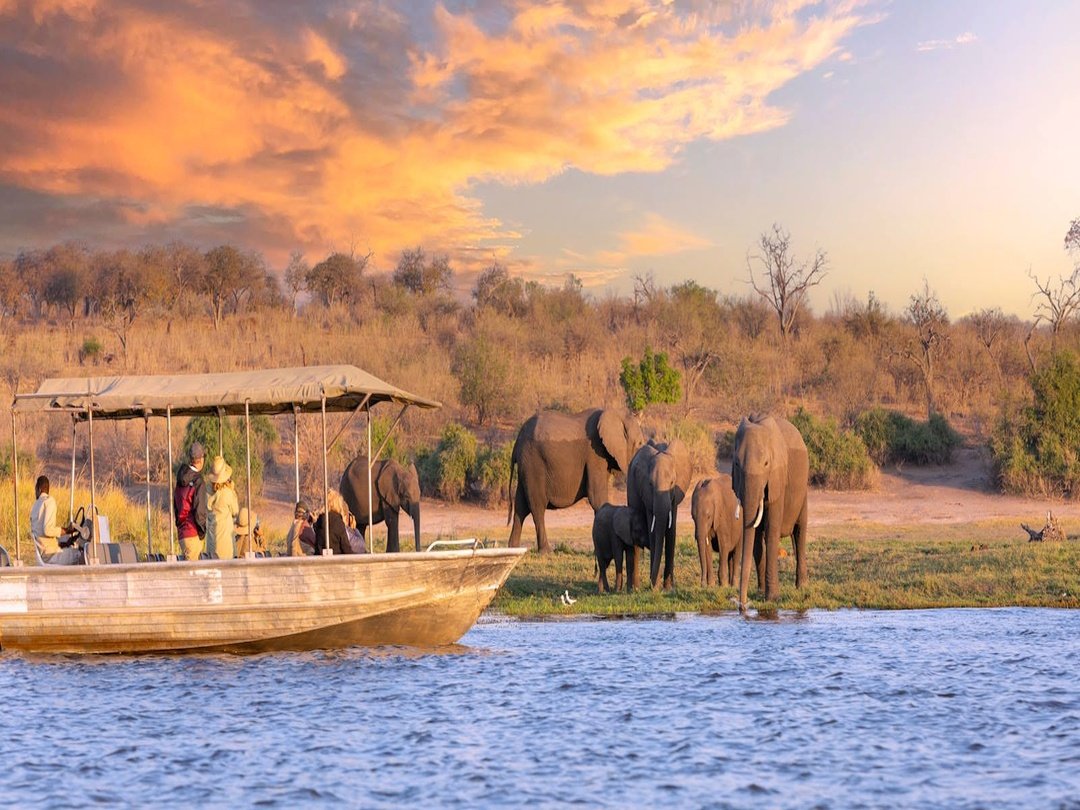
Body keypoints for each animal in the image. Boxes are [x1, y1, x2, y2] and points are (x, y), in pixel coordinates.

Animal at [508, 409, 644, 553]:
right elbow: (596, 497)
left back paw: (513, 548)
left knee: (521, 506)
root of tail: (517, 441)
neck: (617, 414)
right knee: (537, 506)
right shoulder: (594, 454)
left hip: (525, 466)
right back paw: (545, 552)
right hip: (533, 463)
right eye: (640, 444)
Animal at [627, 439, 691, 590]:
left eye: (672, 482)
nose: (652, 585)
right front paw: (655, 586)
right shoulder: (647, 495)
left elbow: (671, 531)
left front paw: (668, 588)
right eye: (650, 484)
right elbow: (654, 531)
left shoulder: (674, 496)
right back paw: (634, 588)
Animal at [731, 414, 809, 609]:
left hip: (803, 490)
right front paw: (761, 593)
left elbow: (772, 531)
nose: (742, 605)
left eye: (766, 463)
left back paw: (802, 587)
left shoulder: (778, 478)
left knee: (800, 532)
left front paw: (773, 598)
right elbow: (756, 538)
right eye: (736, 463)